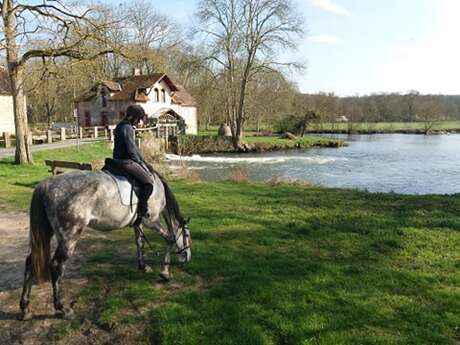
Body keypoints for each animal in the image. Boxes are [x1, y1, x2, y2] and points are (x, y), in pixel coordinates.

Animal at [18, 167, 191, 320]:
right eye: (188, 235)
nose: (188, 257)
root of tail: (45, 185)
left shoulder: (138, 223)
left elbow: (139, 243)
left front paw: (143, 266)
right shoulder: (152, 221)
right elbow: (170, 239)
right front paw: (165, 273)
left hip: (47, 231)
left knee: (30, 263)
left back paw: (25, 308)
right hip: (69, 236)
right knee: (56, 266)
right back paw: (62, 308)